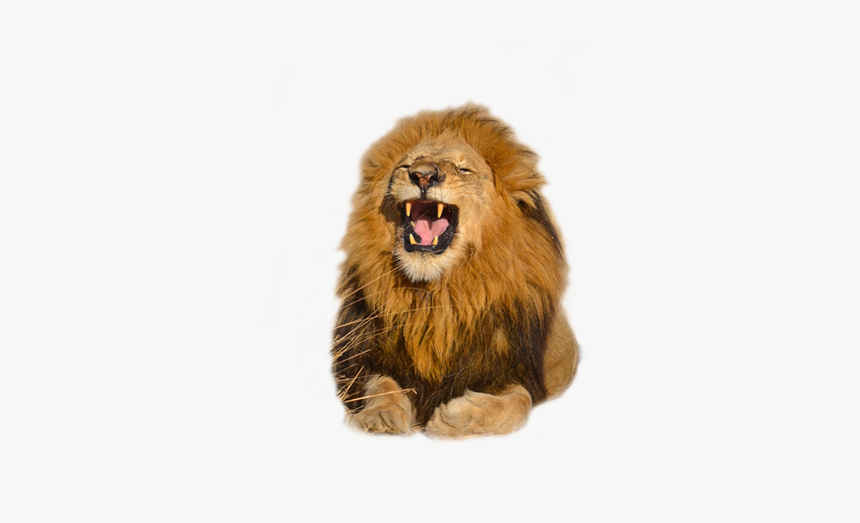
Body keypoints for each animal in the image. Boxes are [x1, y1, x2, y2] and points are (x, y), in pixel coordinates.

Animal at [332, 105, 578, 438]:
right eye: (406, 165)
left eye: (464, 170)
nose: (423, 175)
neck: (436, 296)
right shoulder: (363, 356)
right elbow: (380, 385)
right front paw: (380, 416)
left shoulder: (513, 369)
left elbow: (519, 402)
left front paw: (456, 418)